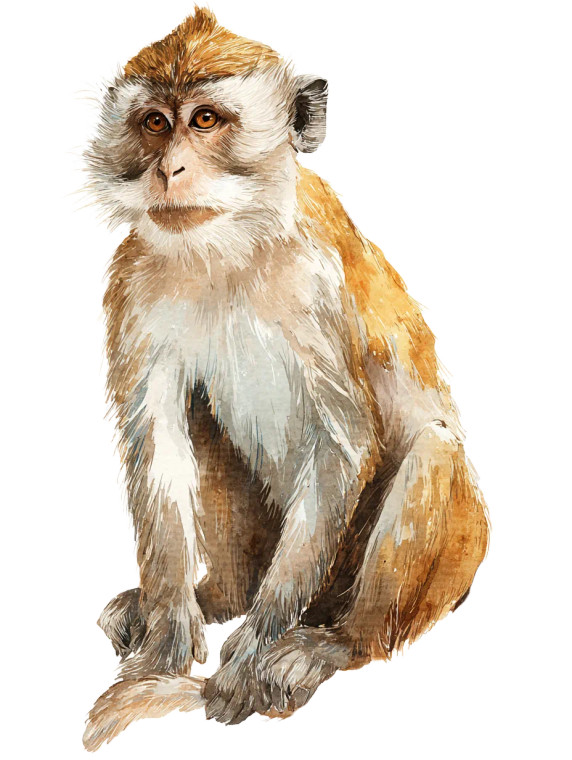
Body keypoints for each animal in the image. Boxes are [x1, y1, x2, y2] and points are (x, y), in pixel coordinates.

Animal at [83, 7, 489, 750]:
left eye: (206, 120)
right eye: (154, 122)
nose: (169, 169)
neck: (229, 247)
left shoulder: (319, 282)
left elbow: (342, 447)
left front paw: (255, 648)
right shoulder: (133, 275)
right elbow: (158, 436)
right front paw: (166, 636)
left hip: (434, 568)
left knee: (434, 449)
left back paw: (334, 643)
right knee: (201, 422)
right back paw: (217, 596)